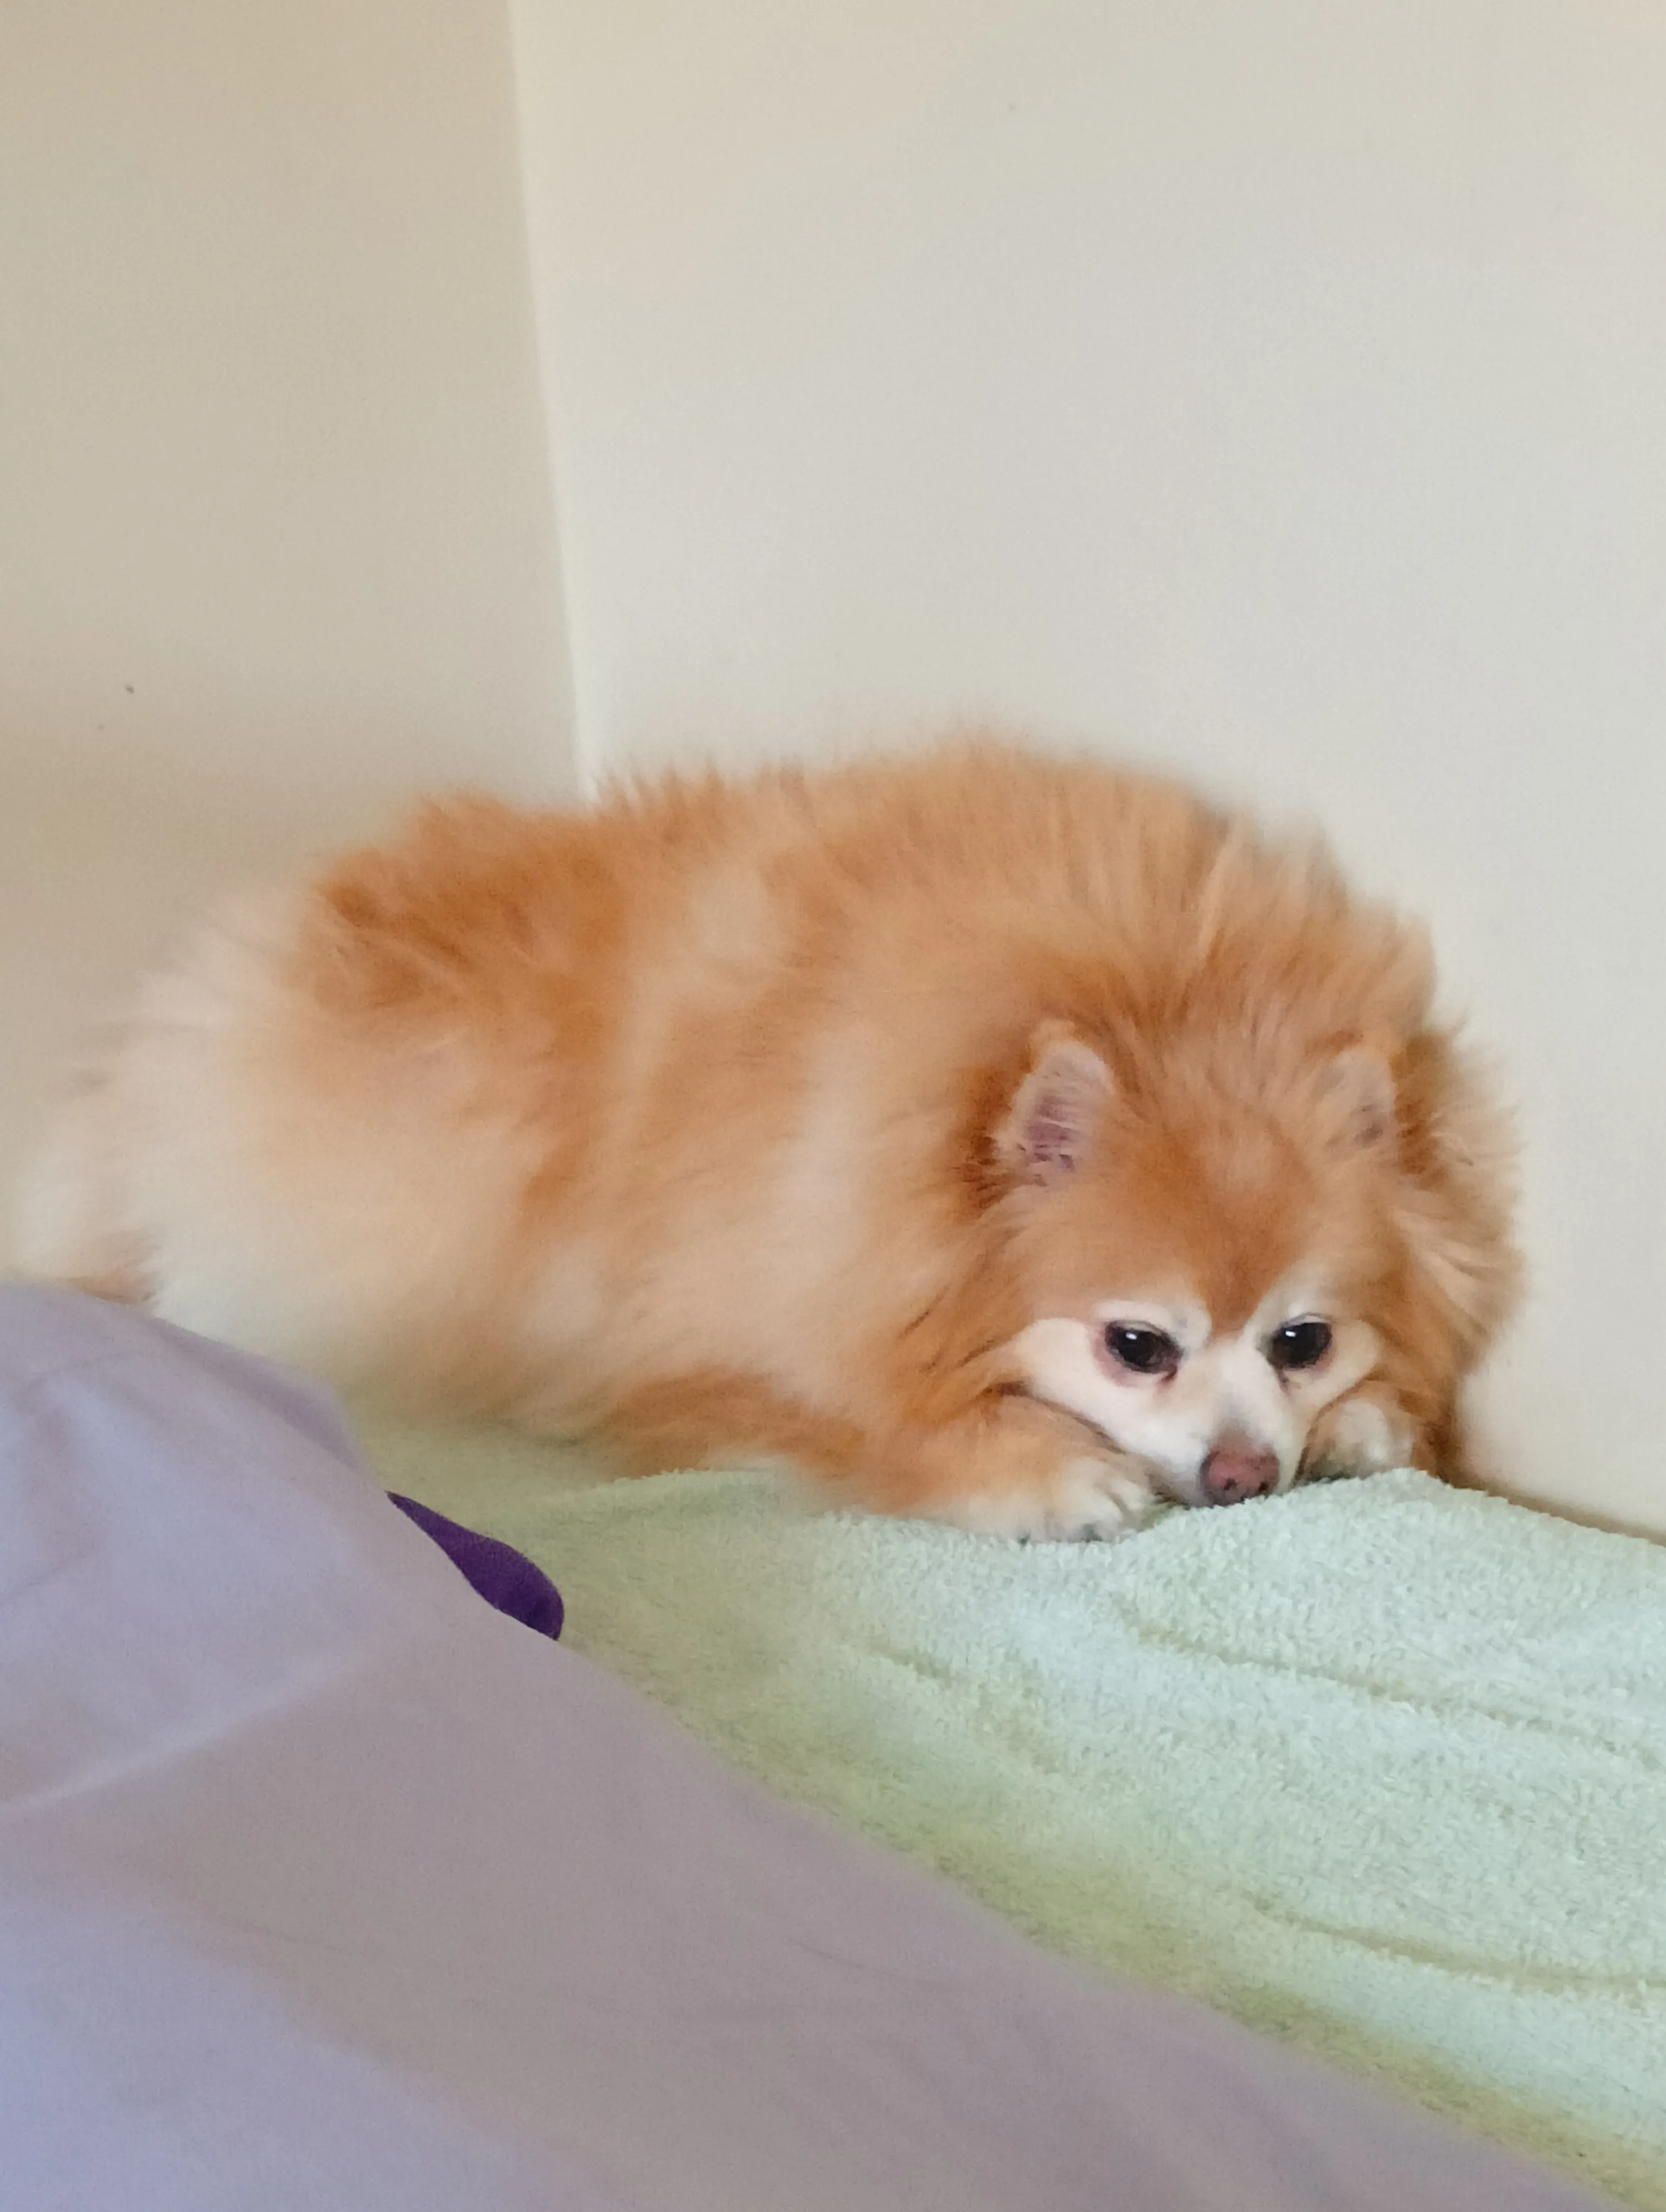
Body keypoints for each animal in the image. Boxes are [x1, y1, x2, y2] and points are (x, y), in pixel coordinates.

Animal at [17, 741, 1520, 1539]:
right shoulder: (679, 1364)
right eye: (1134, 1345)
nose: (1241, 1474)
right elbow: (856, 1425)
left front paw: (1367, 1420)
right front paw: (1034, 1468)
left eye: (1299, 1339)